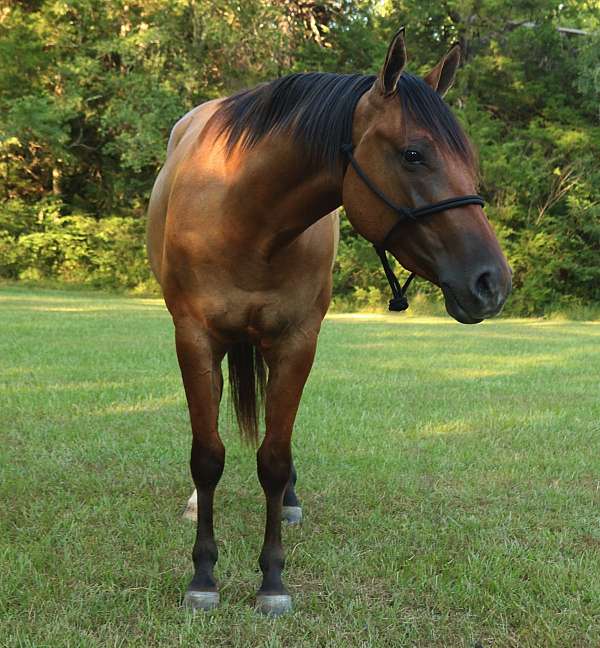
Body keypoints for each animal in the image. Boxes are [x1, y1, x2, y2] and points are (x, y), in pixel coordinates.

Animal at [145, 27, 510, 616]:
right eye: (414, 154)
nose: (491, 282)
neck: (247, 220)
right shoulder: (194, 338)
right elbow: (207, 454)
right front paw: (203, 575)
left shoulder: (297, 342)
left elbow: (273, 458)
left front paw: (272, 580)